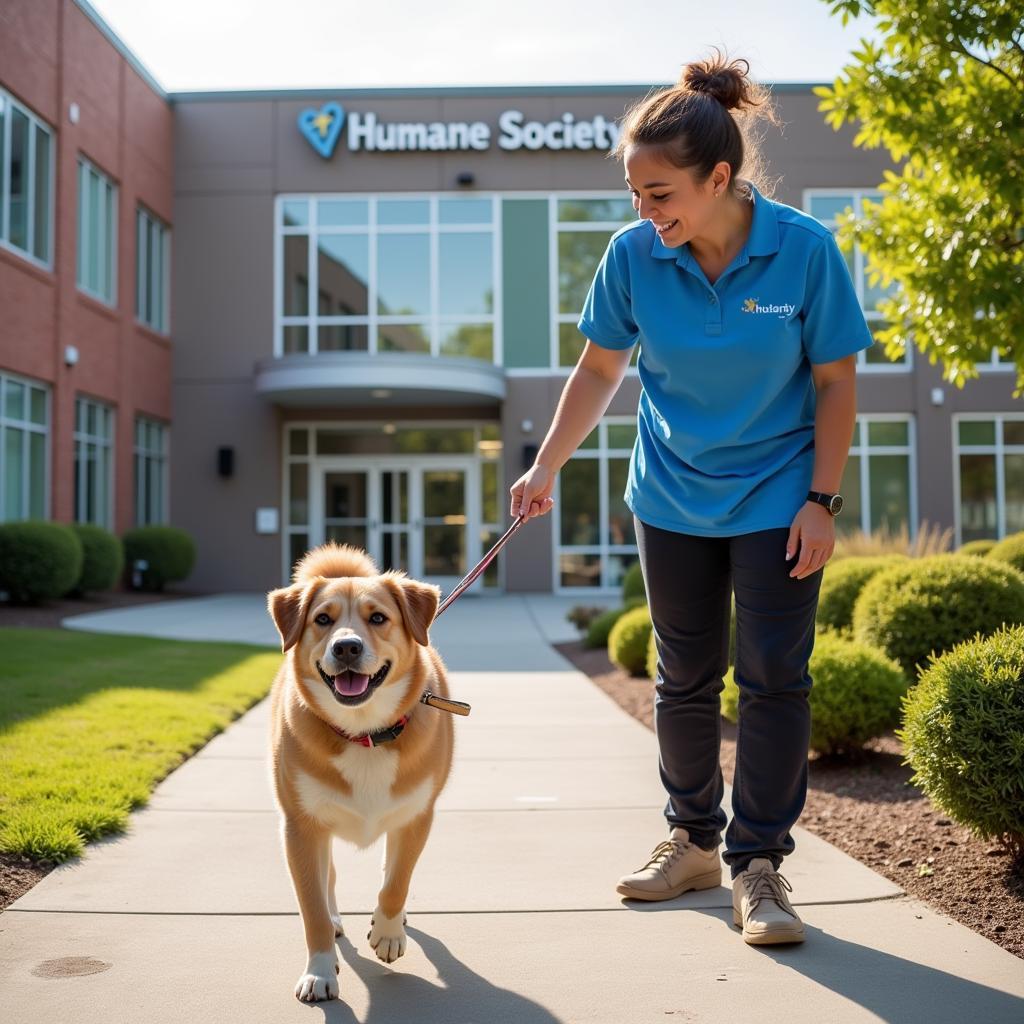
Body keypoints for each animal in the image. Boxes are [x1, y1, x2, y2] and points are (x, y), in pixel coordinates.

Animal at [266, 544, 454, 999]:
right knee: (327, 877)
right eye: (322, 619)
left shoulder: (416, 816)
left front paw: (387, 932)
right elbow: (312, 907)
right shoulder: (300, 826)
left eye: (378, 618)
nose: (347, 648)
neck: (364, 732)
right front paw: (320, 970)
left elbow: (397, 880)